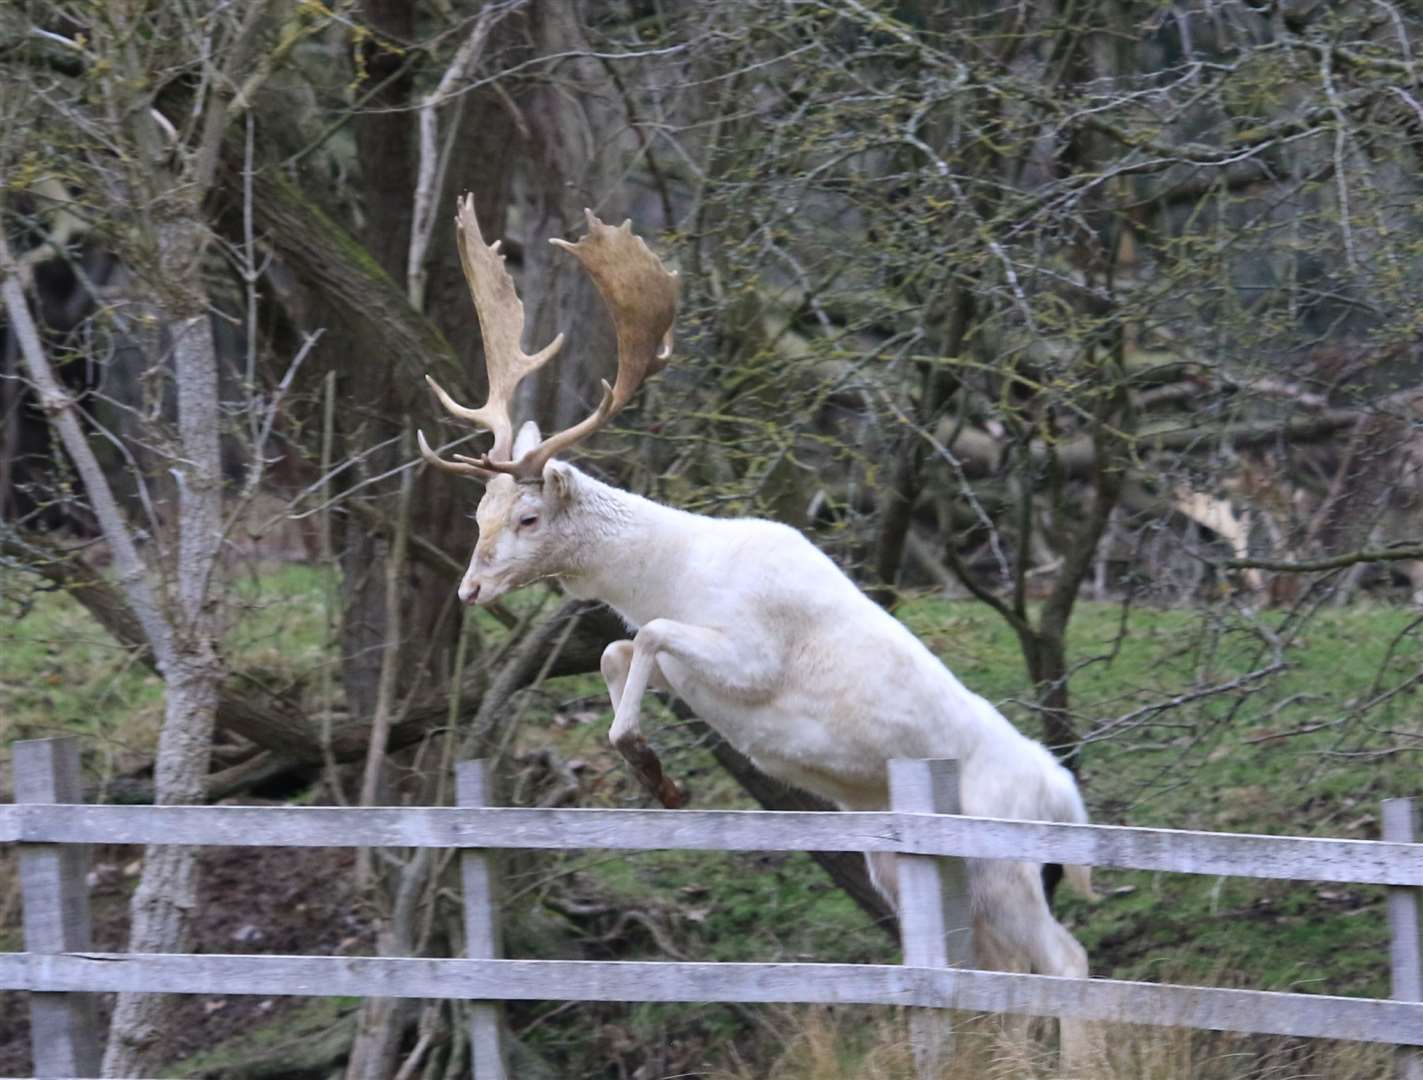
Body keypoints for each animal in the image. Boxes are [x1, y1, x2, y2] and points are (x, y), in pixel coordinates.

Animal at [415, 194, 1092, 1030]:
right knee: (998, 971)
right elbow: (616, 650)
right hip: (921, 868)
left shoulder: (753, 653)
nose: (469, 591)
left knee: (1065, 961)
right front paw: (657, 775)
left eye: (529, 517)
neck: (679, 574)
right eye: (479, 510)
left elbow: (646, 638)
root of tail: (1065, 797)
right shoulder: (685, 664)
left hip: (1007, 861)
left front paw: (645, 761)